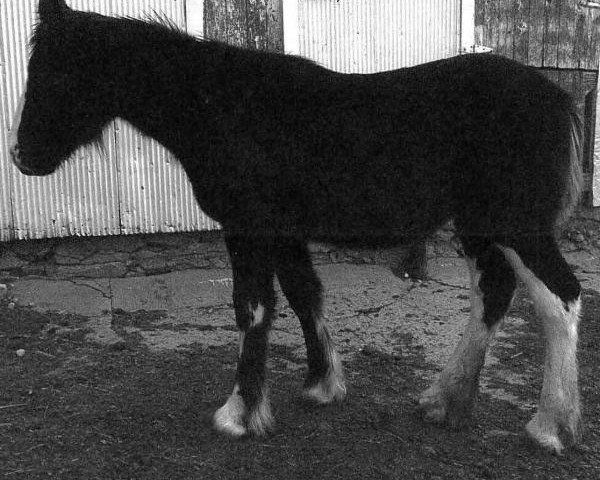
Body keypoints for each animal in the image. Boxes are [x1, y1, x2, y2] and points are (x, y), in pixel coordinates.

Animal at [9, 0, 580, 454]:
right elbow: (305, 293)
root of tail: (560, 100)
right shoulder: (284, 233)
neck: (224, 108)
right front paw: (322, 385)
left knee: (562, 296)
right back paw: (445, 401)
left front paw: (239, 414)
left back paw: (552, 426)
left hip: (519, 227)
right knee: (494, 292)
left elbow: (253, 307)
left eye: (59, 74)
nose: (21, 156)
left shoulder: (248, 229)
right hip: (479, 226)